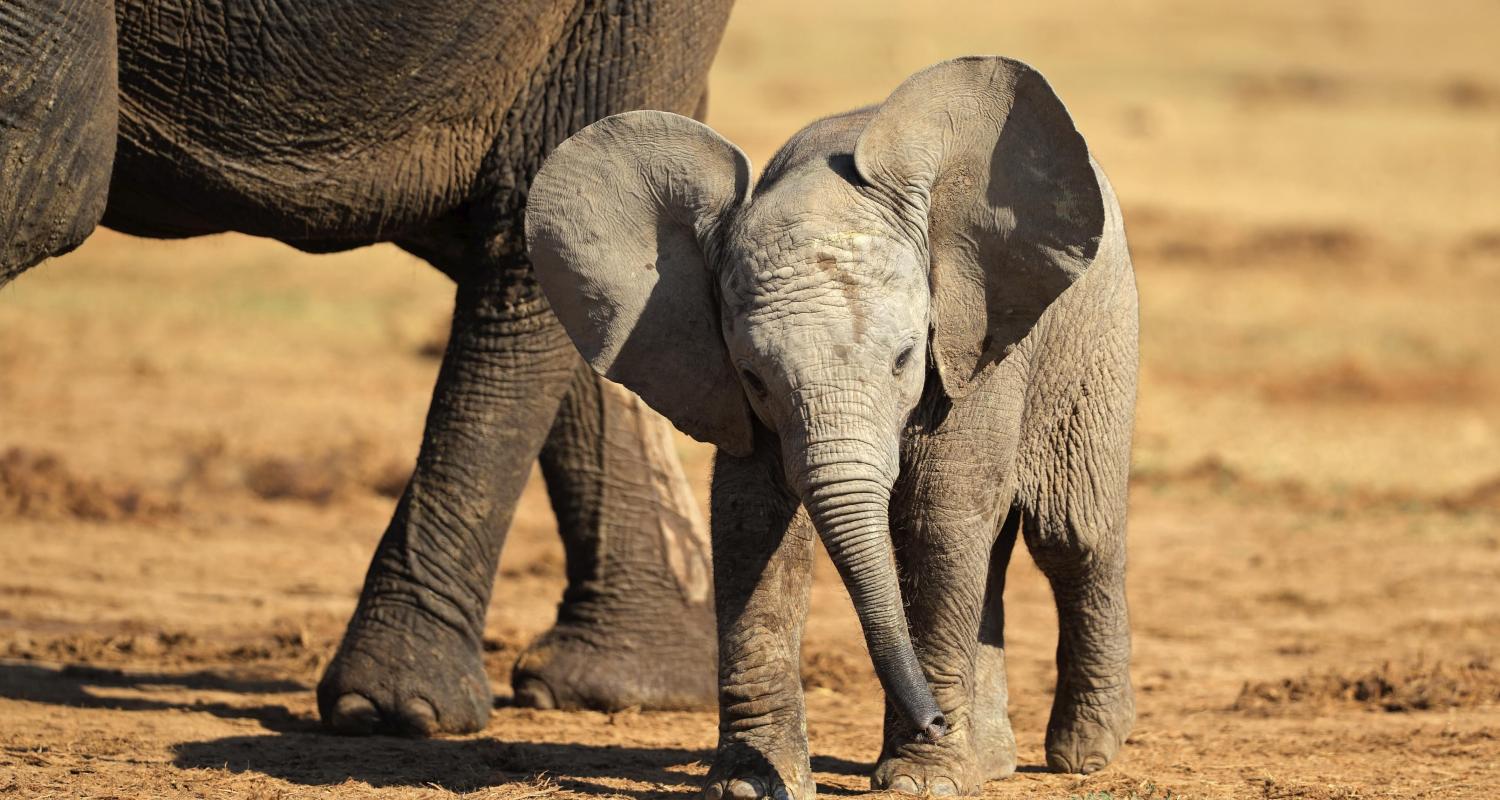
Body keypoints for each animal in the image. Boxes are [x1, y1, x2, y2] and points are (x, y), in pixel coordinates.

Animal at [528, 57, 1134, 798]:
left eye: (905, 358)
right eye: (755, 377)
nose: (936, 722)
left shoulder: (969, 344)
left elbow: (938, 517)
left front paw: (919, 783)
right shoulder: (731, 392)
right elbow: (752, 524)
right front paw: (751, 784)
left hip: (1099, 331)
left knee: (1070, 535)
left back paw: (1085, 754)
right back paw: (991, 762)